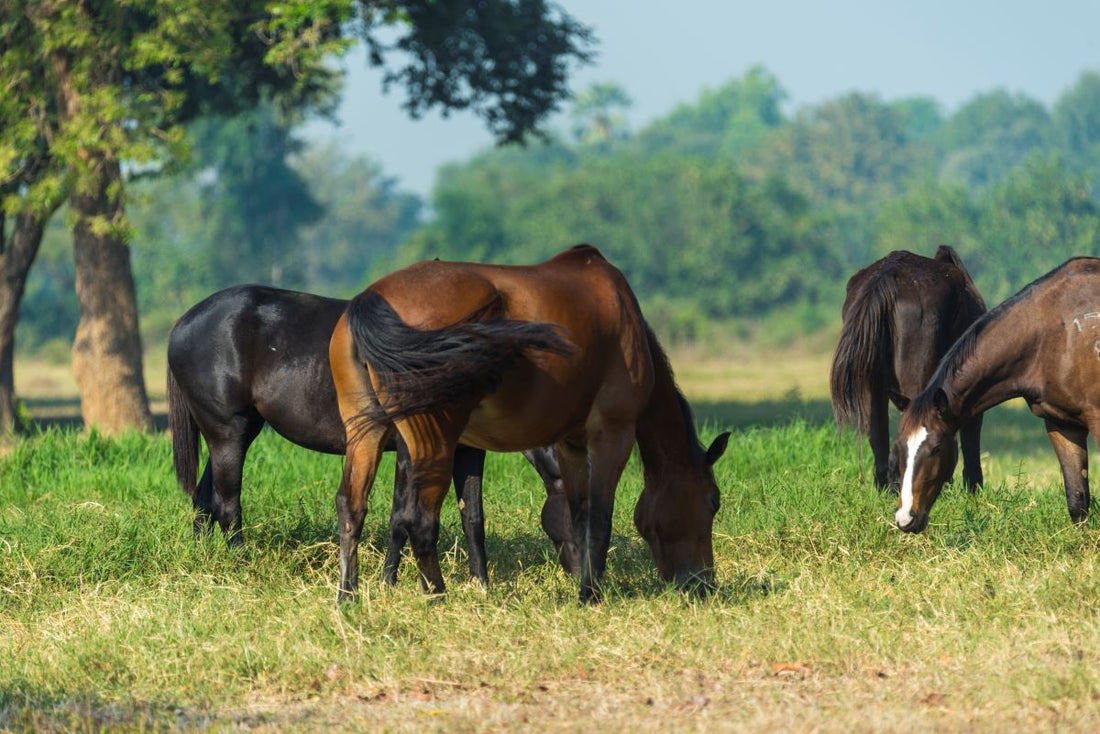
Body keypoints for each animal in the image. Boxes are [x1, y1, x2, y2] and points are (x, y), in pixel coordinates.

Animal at [166, 284, 566, 585]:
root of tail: (184, 321)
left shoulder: (466, 451)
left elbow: (472, 516)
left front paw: (480, 585)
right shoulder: (409, 449)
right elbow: (401, 517)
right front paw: (391, 582)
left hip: (236, 432)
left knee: (204, 499)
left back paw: (205, 561)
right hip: (228, 432)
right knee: (228, 505)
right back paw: (241, 566)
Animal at [328, 244, 730, 604]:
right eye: (713, 501)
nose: (702, 583)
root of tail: (371, 299)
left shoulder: (571, 445)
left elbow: (579, 518)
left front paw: (584, 588)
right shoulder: (612, 436)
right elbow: (600, 521)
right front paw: (591, 595)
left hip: (367, 434)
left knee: (352, 507)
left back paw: (347, 598)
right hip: (434, 442)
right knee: (420, 521)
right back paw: (438, 597)